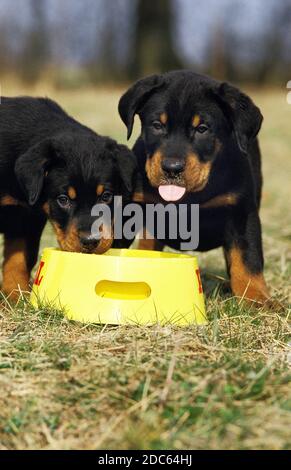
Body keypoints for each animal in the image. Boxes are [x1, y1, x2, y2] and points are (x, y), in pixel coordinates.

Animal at [0, 96, 137, 298]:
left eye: (106, 196)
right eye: (63, 199)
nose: (90, 241)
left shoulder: (26, 217)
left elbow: (19, 258)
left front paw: (15, 296)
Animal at [119, 70, 272, 304]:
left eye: (202, 129)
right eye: (157, 125)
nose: (172, 168)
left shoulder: (242, 212)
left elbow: (248, 259)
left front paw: (257, 298)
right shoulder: (133, 206)